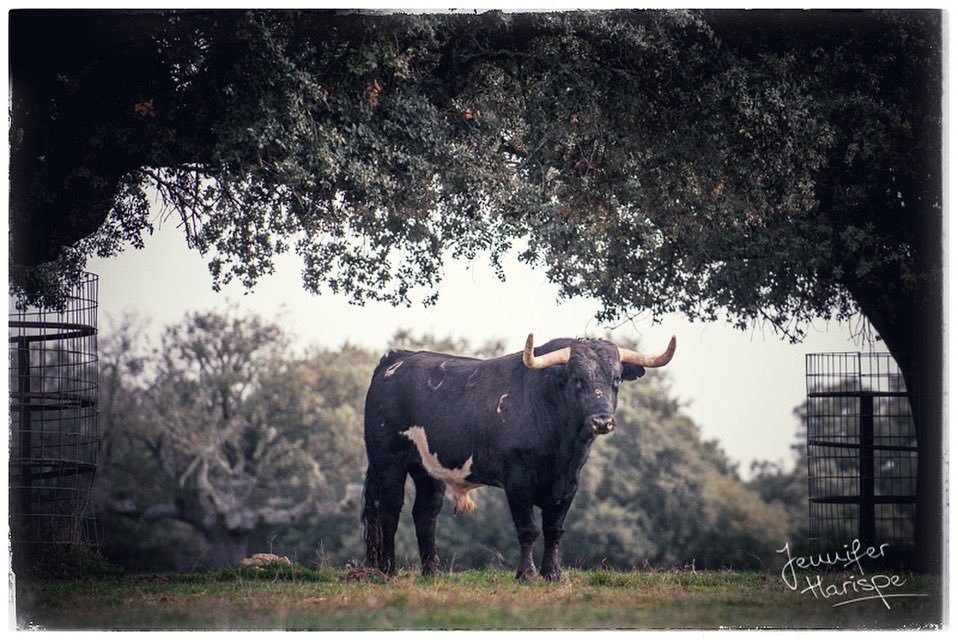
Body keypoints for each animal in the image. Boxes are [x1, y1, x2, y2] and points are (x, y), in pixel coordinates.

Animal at [360, 336, 676, 580]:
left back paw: (432, 571)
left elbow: (554, 529)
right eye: (577, 379)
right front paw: (526, 574)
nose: (602, 421)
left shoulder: (569, 483)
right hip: (387, 461)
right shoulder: (518, 481)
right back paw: (388, 570)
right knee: (389, 509)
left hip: (428, 469)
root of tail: (396, 358)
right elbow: (528, 529)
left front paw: (553, 574)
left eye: (616, 379)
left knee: (425, 514)